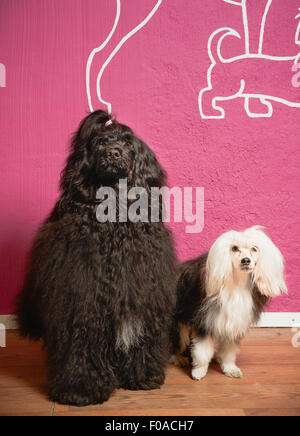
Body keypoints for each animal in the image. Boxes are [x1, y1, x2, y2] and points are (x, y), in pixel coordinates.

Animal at [16, 110, 177, 408]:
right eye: (100, 142)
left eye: (127, 142)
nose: (113, 153)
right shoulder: (83, 297)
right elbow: (82, 342)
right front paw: (81, 388)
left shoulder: (142, 291)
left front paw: (143, 376)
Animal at [172, 227, 288, 380]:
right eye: (234, 248)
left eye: (254, 249)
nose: (246, 260)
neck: (237, 283)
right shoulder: (204, 321)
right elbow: (202, 350)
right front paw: (199, 371)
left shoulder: (234, 323)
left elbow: (229, 351)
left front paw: (229, 368)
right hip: (179, 324)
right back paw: (179, 358)